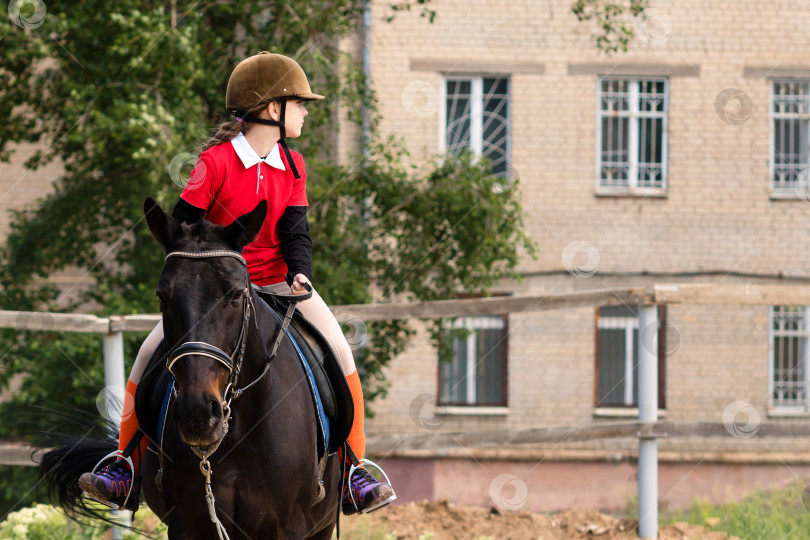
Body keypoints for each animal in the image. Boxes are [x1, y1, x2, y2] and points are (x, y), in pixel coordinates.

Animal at [38, 199, 338, 540]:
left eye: (236, 295)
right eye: (162, 297)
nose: (198, 413)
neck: (238, 432)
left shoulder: (288, 528)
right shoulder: (189, 524)